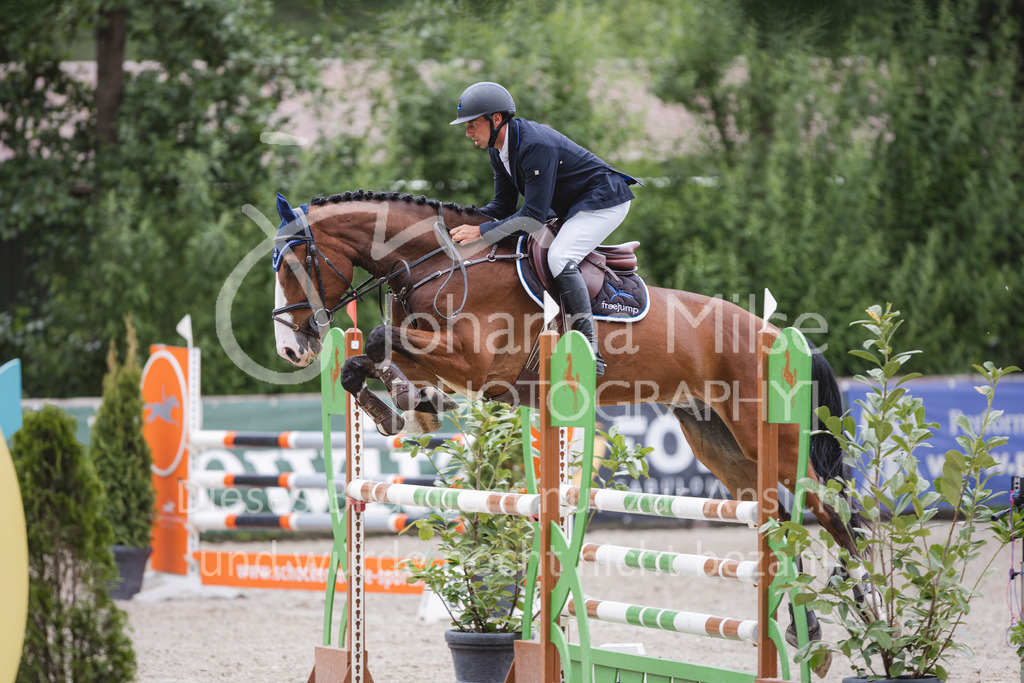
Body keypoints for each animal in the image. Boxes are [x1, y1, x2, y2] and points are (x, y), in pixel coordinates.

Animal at [270, 189, 863, 560]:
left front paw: (407, 403)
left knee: (836, 512)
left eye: (292, 265)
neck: (441, 262)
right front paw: (403, 410)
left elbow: (374, 340)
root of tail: (781, 337)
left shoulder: (473, 362)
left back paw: (864, 612)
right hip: (720, 444)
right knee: (779, 516)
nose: (290, 348)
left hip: (773, 441)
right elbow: (360, 361)